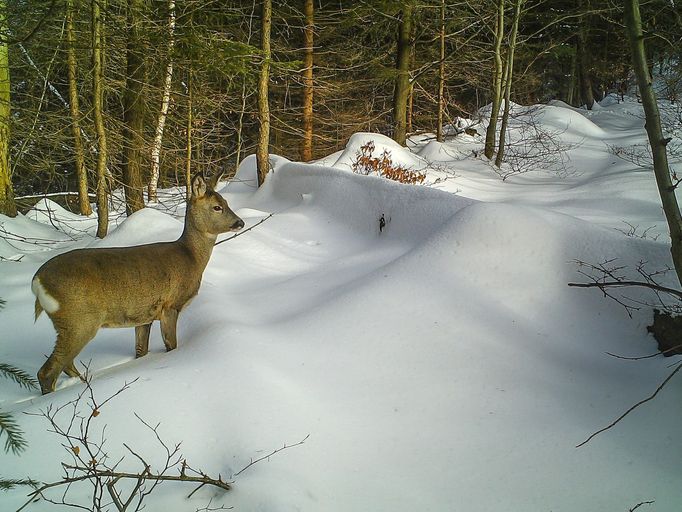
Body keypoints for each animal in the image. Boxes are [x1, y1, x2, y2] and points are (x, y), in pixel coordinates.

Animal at [33, 174, 244, 394]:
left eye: (226, 202)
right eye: (217, 207)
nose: (240, 222)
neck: (191, 258)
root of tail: (37, 281)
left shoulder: (145, 316)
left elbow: (141, 351)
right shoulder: (170, 306)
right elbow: (172, 345)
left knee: (66, 365)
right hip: (79, 320)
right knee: (47, 372)